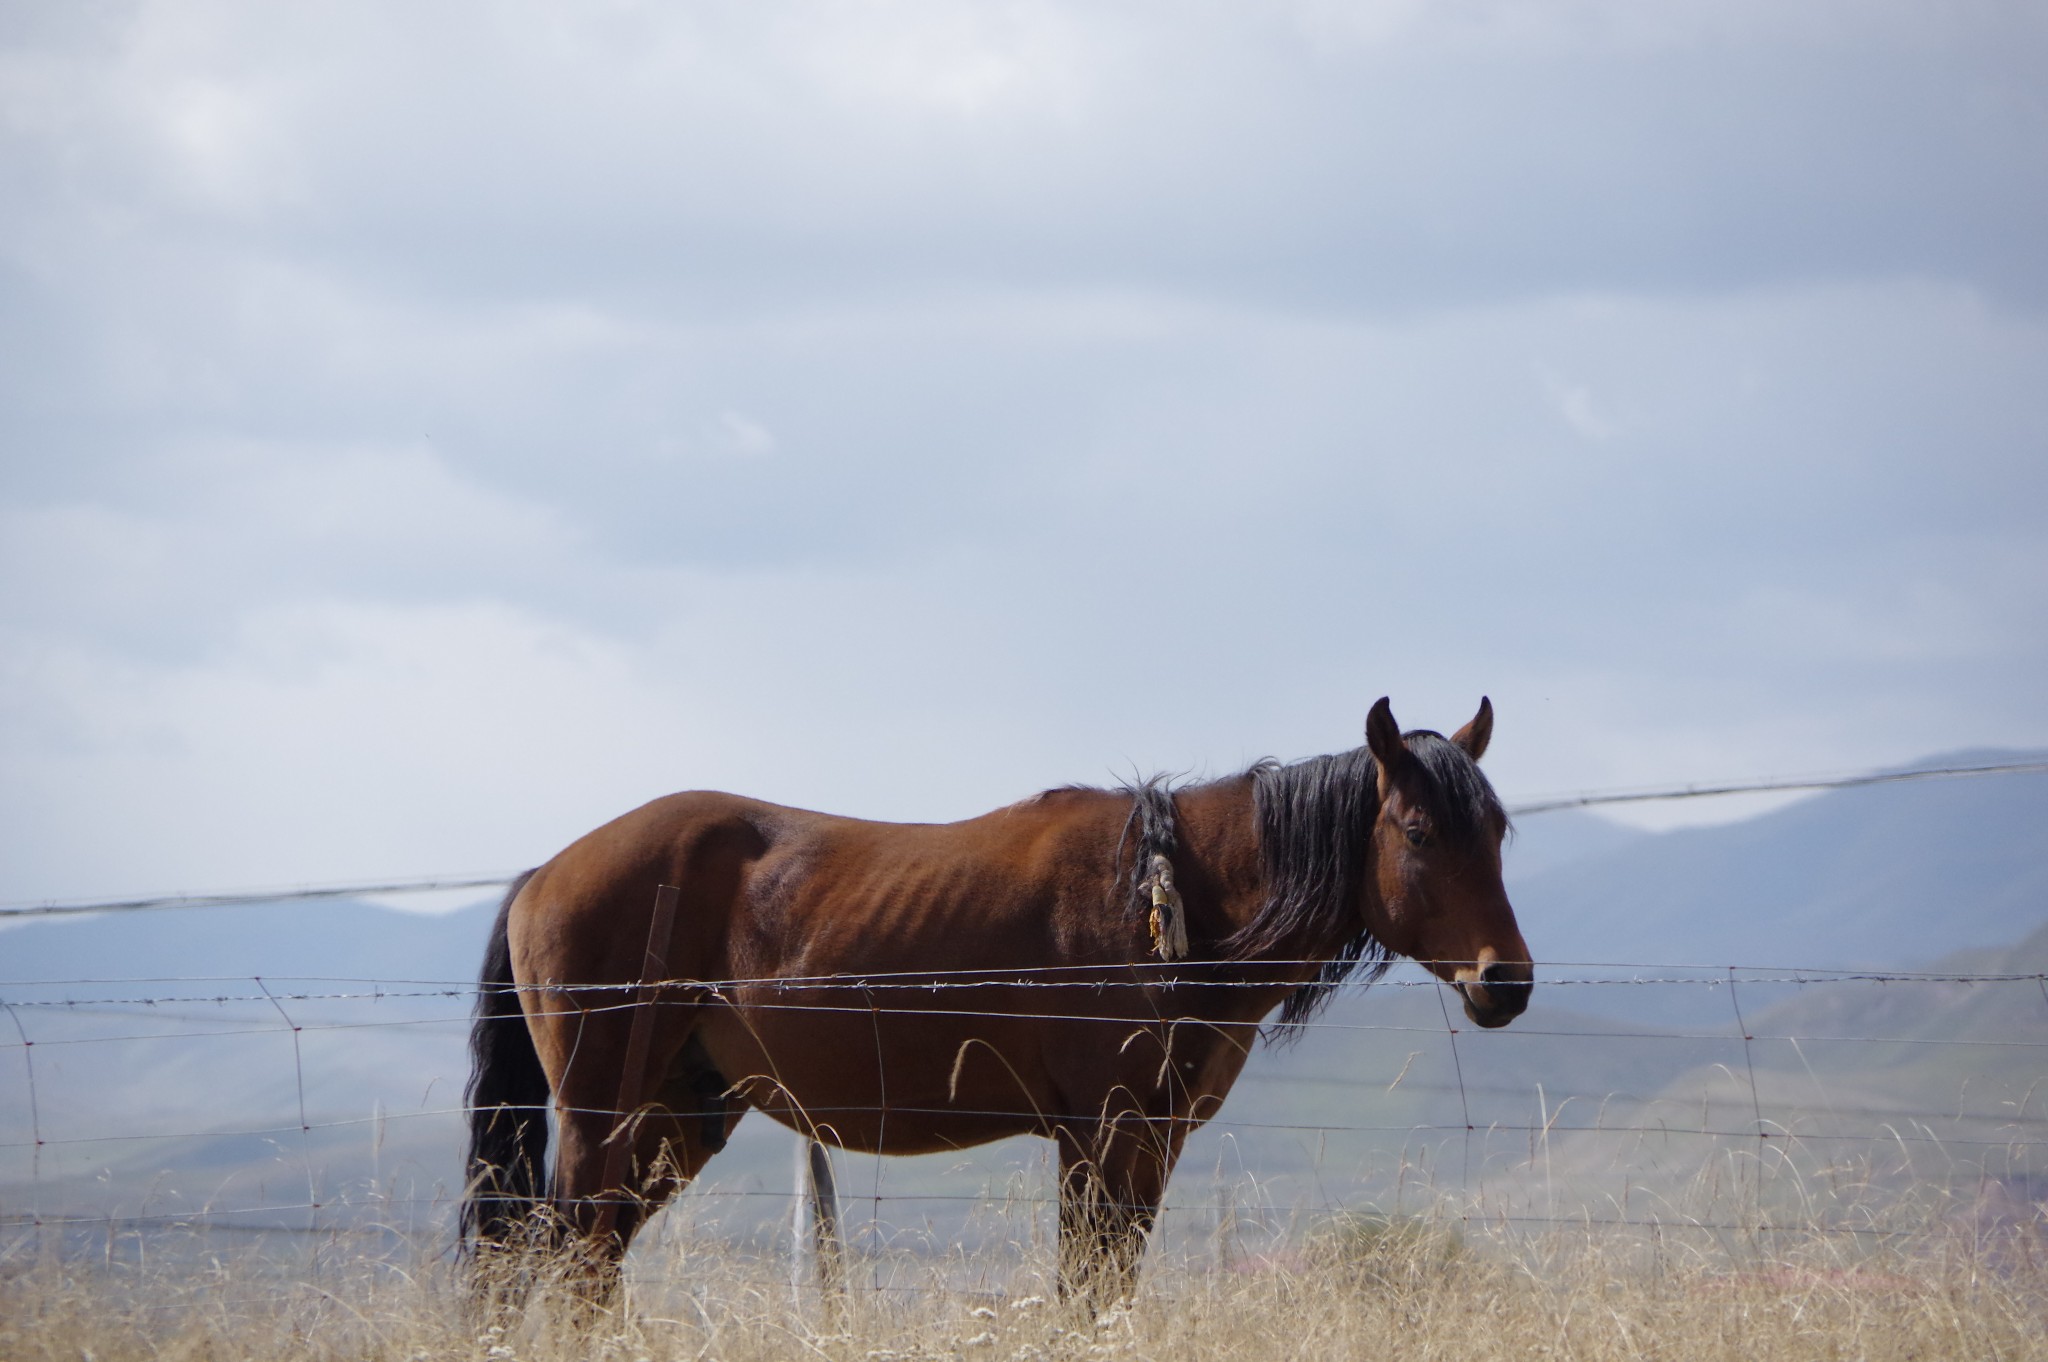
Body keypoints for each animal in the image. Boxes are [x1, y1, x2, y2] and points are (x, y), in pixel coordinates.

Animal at [460, 696, 1523, 1302]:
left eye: (1500, 830)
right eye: (1420, 831)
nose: (1504, 980)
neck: (1164, 896)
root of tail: (547, 872)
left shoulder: (1147, 1145)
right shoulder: (1102, 1136)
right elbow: (1085, 1292)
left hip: (678, 1121)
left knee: (587, 1260)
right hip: (601, 1118)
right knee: (569, 1257)